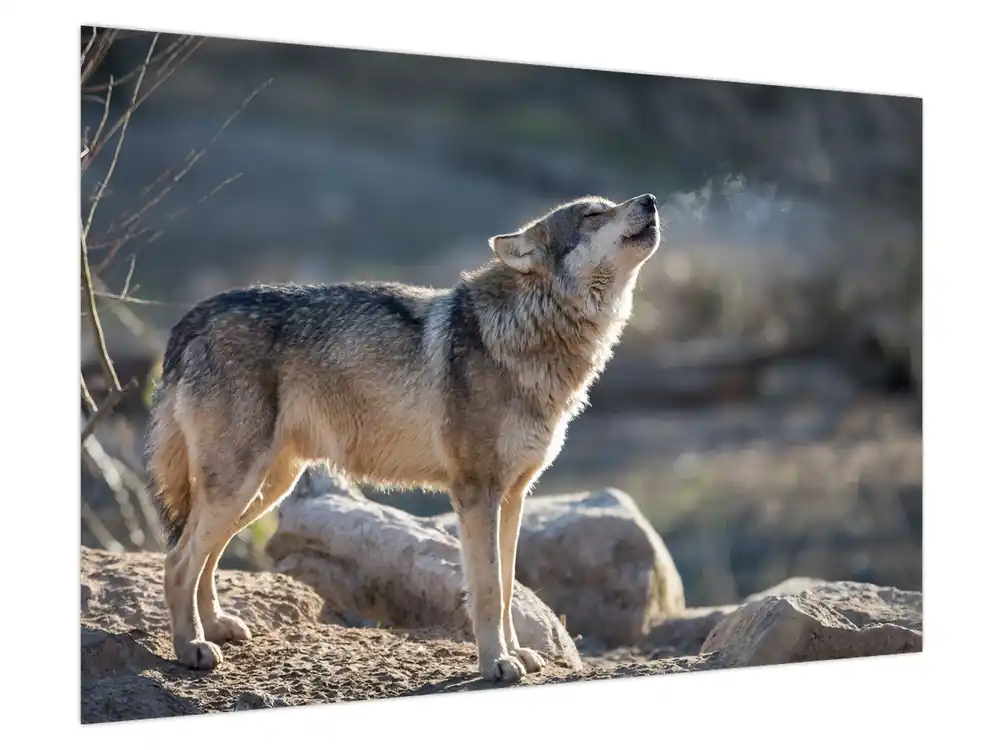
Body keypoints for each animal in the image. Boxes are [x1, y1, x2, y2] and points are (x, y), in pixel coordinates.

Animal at [145, 192, 662, 683]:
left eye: (610, 204)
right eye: (593, 214)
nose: (651, 200)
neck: (523, 331)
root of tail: (194, 317)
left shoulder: (513, 496)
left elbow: (507, 584)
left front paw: (516, 654)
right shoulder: (476, 493)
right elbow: (489, 589)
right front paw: (496, 663)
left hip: (264, 489)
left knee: (205, 558)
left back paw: (215, 628)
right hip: (239, 486)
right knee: (177, 561)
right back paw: (191, 648)